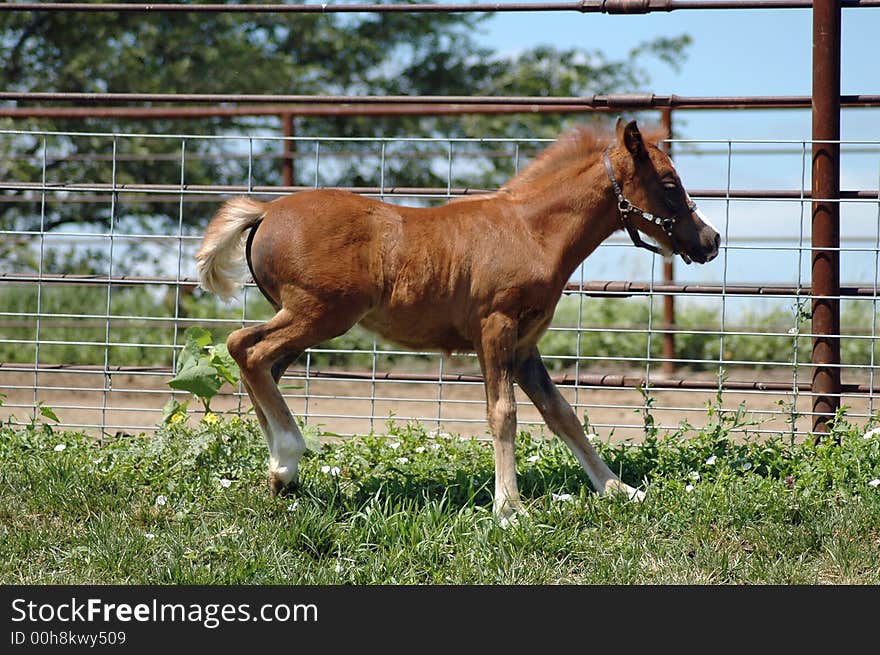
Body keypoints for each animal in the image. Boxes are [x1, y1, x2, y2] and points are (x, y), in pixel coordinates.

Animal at [196, 119, 720, 524]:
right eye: (669, 183)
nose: (710, 240)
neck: (531, 232)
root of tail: (265, 210)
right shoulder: (496, 327)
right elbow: (503, 413)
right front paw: (509, 508)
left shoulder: (525, 345)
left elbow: (561, 414)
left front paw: (620, 489)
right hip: (319, 313)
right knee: (246, 346)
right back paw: (287, 456)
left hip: (305, 317)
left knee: (261, 363)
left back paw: (280, 474)